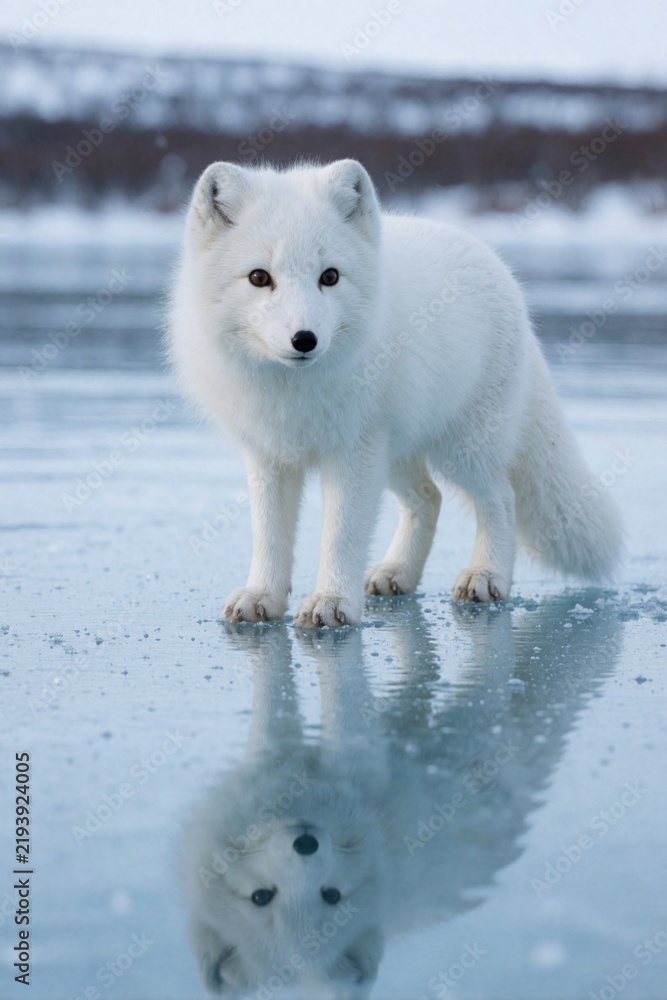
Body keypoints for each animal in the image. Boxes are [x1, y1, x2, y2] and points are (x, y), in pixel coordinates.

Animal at [168, 159, 623, 626]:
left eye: (329, 276)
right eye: (259, 277)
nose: (305, 339)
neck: (293, 394)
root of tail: (496, 264)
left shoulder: (353, 450)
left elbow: (341, 534)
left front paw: (332, 602)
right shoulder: (269, 453)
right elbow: (269, 534)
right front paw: (262, 597)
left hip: (463, 448)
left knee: (501, 497)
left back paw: (486, 575)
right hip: (395, 454)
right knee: (429, 498)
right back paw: (398, 573)